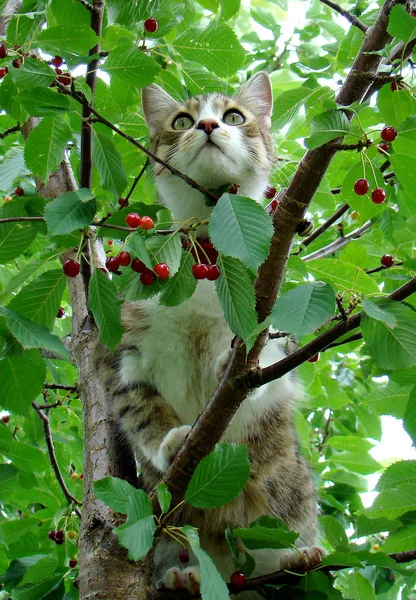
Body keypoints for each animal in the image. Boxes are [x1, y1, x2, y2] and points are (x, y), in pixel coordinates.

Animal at [96, 72, 322, 596]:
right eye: (181, 120)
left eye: (235, 115)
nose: (207, 124)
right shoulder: (127, 353)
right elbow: (141, 408)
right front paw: (170, 443)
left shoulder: (276, 329)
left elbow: (265, 372)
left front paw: (226, 364)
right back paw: (183, 576)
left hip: (287, 501)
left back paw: (299, 557)